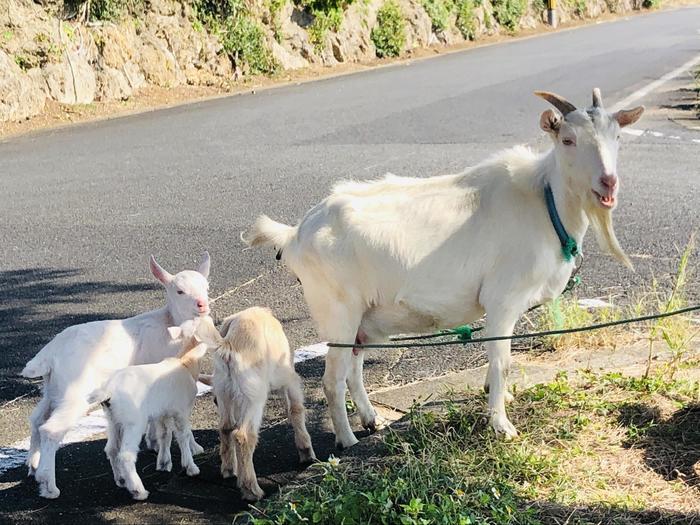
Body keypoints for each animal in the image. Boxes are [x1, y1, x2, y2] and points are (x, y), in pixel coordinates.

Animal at [89, 316, 217, 500]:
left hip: (113, 420)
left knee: (111, 449)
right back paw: (138, 490)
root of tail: (108, 390)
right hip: (133, 422)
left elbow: (165, 435)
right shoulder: (181, 411)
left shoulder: (162, 413)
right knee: (126, 455)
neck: (185, 363)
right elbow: (183, 436)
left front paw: (164, 463)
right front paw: (191, 467)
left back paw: (121, 480)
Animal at [197, 308, 318, 500]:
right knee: (243, 436)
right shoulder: (289, 377)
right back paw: (252, 491)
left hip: (225, 390)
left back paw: (229, 470)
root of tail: (228, 347)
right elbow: (295, 409)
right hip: (254, 397)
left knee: (226, 427)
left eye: (214, 401)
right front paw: (307, 452)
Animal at [246, 88, 644, 448]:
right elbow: (501, 360)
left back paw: (371, 420)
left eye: (617, 137)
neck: (544, 203)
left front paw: (498, 397)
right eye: (567, 139)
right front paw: (502, 425)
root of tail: (295, 233)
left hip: (364, 315)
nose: (608, 183)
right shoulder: (502, 298)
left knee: (353, 369)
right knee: (332, 379)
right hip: (337, 309)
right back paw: (347, 439)